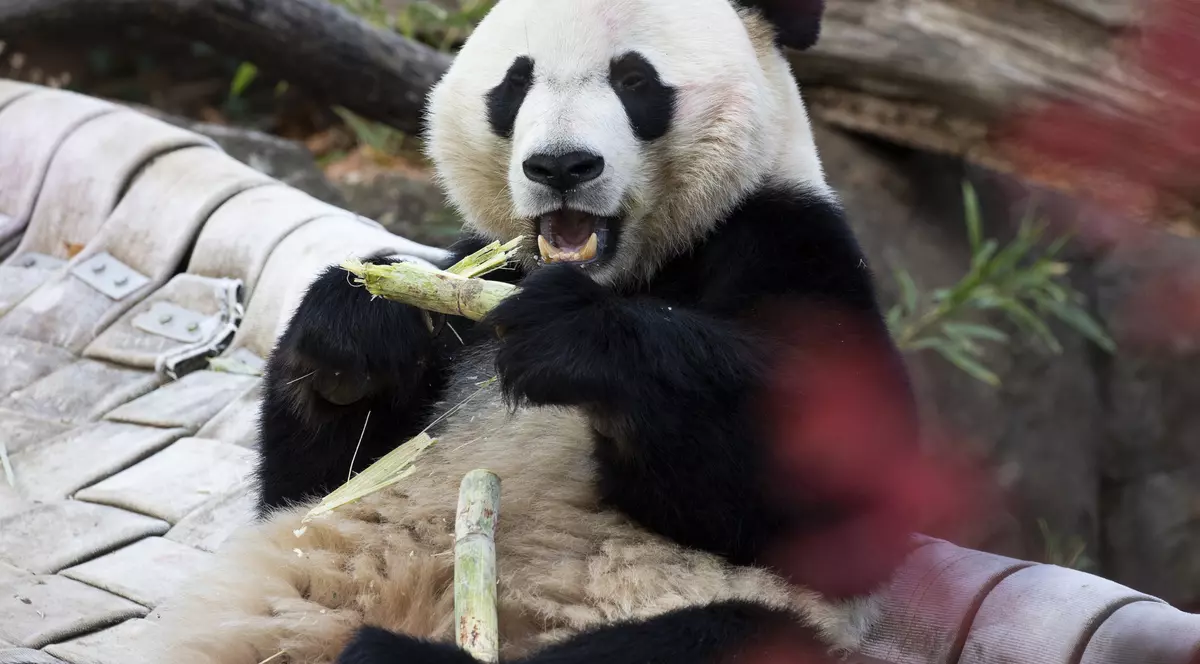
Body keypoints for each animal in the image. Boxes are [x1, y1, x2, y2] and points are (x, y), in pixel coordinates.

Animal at [151, 0, 920, 662]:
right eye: (515, 83)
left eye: (634, 80)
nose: (561, 166)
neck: (630, 274)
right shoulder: (477, 279)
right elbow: (317, 481)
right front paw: (362, 325)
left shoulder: (786, 241)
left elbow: (844, 490)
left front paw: (576, 342)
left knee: (712, 636)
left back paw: (399, 655)